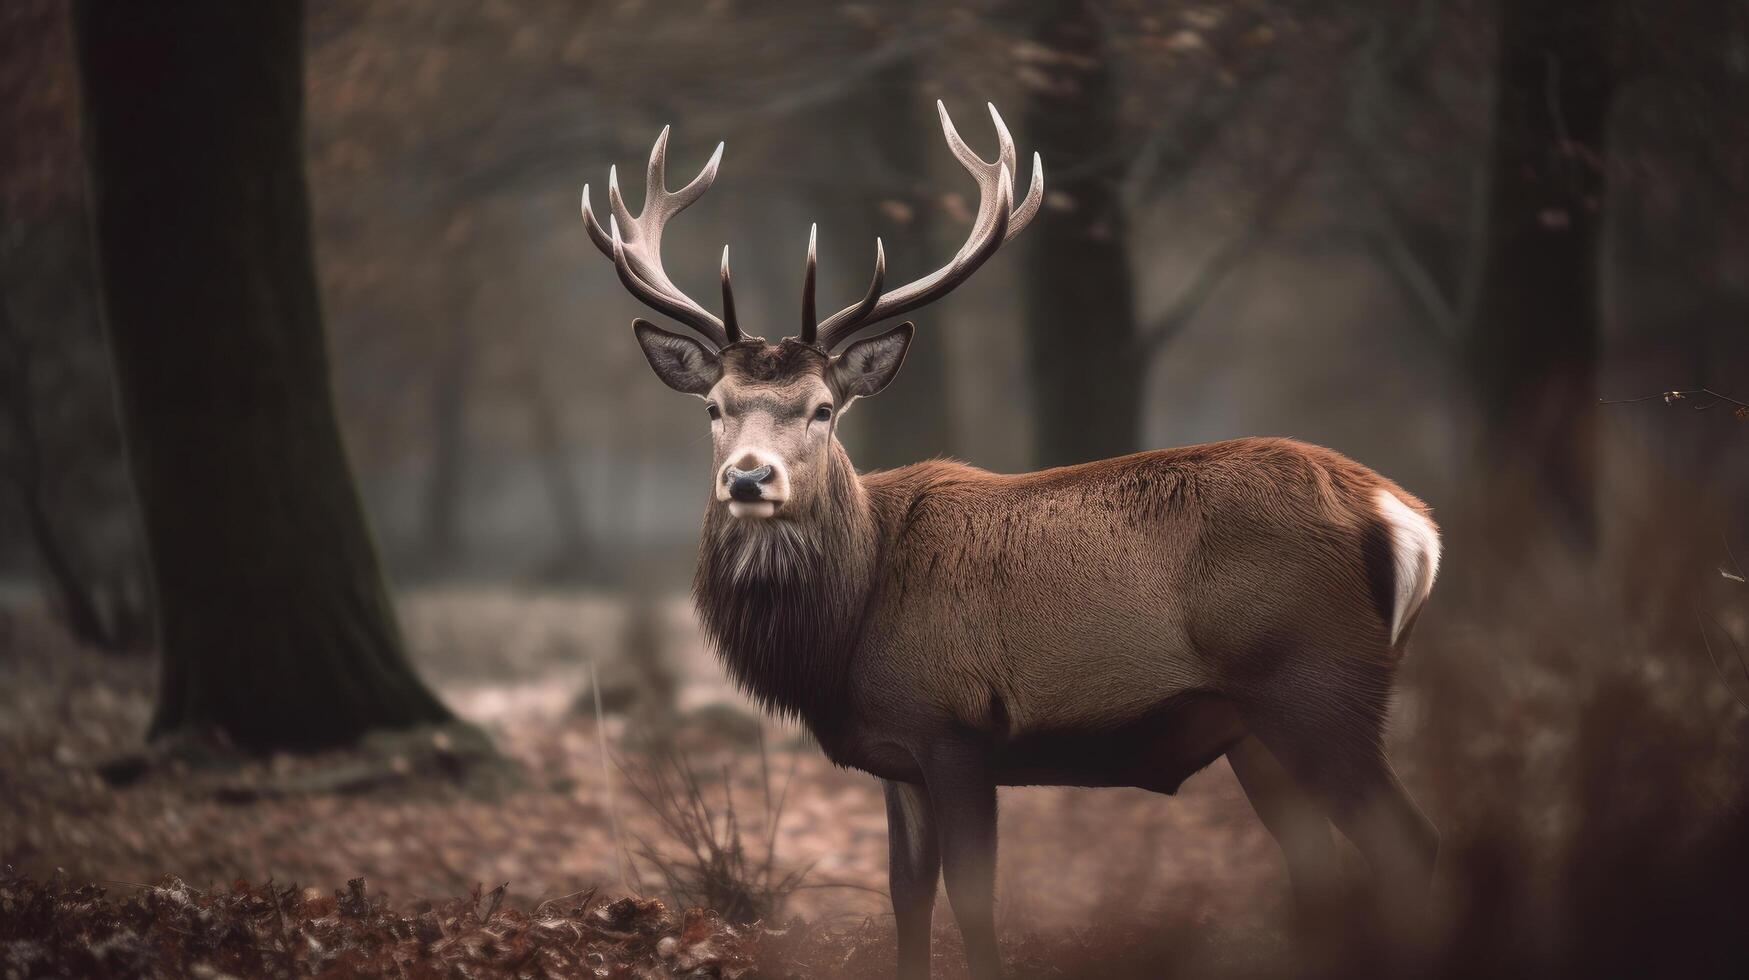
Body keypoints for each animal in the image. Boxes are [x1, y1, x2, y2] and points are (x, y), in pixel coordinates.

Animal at [580, 103, 1441, 973]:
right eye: (714, 406)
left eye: (822, 408)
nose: (750, 478)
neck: (847, 625)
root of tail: (1406, 520)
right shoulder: (896, 751)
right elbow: (906, 895)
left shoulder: (955, 726)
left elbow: (972, 897)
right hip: (1256, 727)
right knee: (1319, 868)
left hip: (1316, 683)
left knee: (1408, 845)